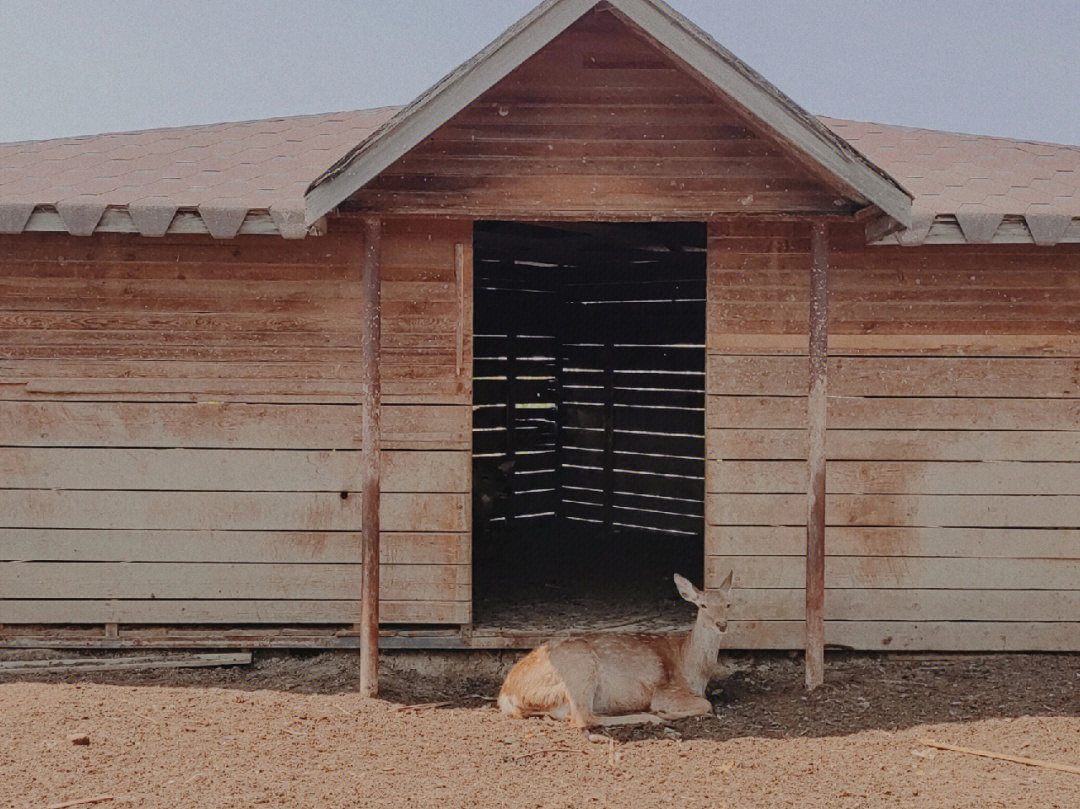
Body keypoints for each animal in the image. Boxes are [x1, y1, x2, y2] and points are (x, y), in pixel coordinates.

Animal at [496, 570, 734, 730]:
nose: (722, 624)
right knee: (583, 718)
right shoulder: (667, 691)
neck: (694, 671)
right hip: (579, 666)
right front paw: (663, 711)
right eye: (702, 605)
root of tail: (506, 693)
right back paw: (654, 717)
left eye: (728, 604)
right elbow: (707, 704)